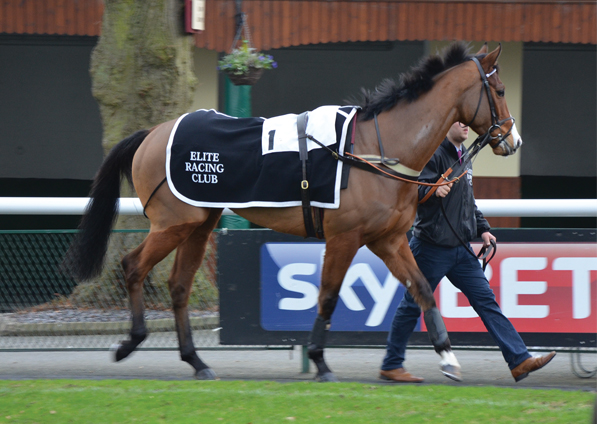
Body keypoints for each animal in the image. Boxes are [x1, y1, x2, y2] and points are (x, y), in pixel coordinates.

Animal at [65, 43, 520, 380]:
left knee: (178, 285)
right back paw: (130, 342)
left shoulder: (387, 239)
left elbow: (423, 288)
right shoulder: (345, 236)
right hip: (174, 222)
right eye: (498, 91)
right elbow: (328, 295)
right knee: (132, 266)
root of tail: (151, 133)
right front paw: (319, 359)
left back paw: (197, 361)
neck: (375, 150)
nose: (512, 140)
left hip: (199, 223)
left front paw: (448, 357)